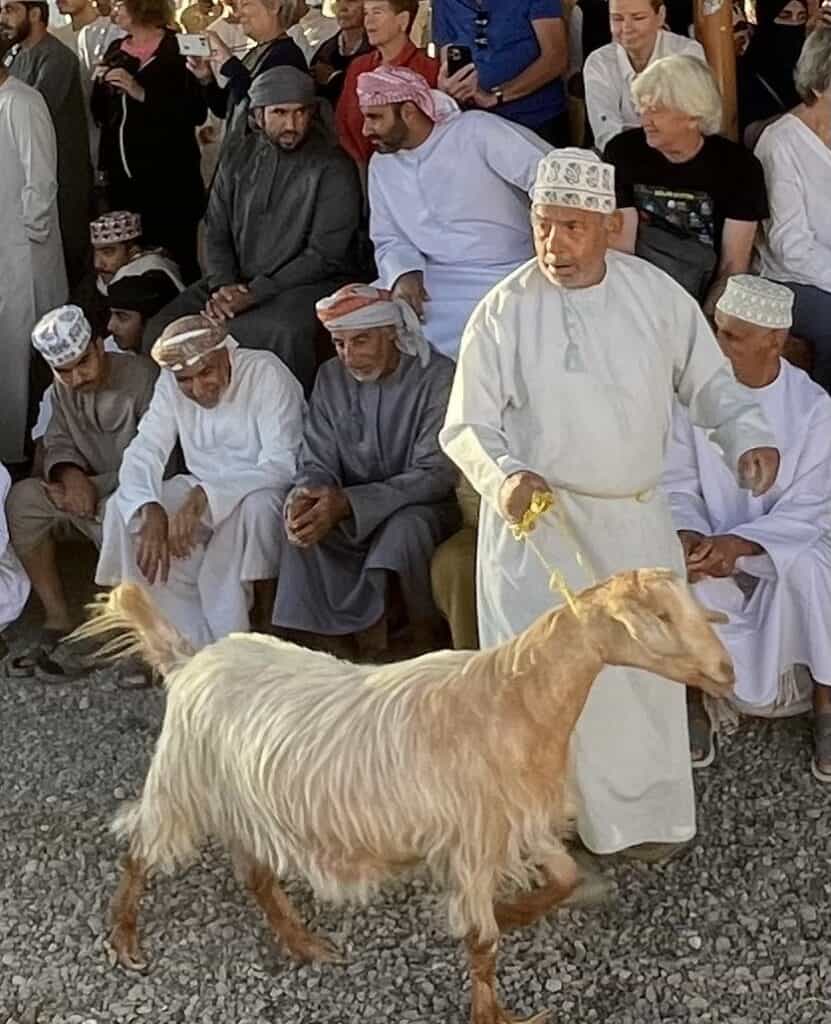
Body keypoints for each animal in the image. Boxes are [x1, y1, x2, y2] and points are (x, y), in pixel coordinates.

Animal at [86, 568, 733, 1024]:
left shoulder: (518, 825)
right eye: (659, 615)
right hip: (181, 782)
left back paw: (305, 944)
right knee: (141, 847)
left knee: (256, 876)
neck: (511, 701)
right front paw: (493, 1012)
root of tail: (189, 660)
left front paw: (516, 912)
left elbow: (563, 880)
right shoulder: (473, 842)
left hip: (245, 803)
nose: (725, 672)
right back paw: (124, 938)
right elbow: (483, 945)